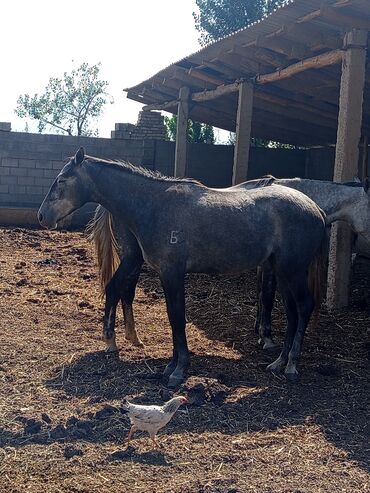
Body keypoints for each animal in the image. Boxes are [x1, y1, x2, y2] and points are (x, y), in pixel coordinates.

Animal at [37, 148, 326, 386]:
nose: (42, 216)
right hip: (283, 272)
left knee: (304, 306)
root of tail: (317, 210)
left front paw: (178, 369)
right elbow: (172, 317)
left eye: (61, 180)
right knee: (292, 312)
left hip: (292, 271)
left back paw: (291, 365)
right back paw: (279, 362)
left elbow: (176, 317)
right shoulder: (166, 275)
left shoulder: (172, 274)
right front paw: (171, 366)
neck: (153, 204)